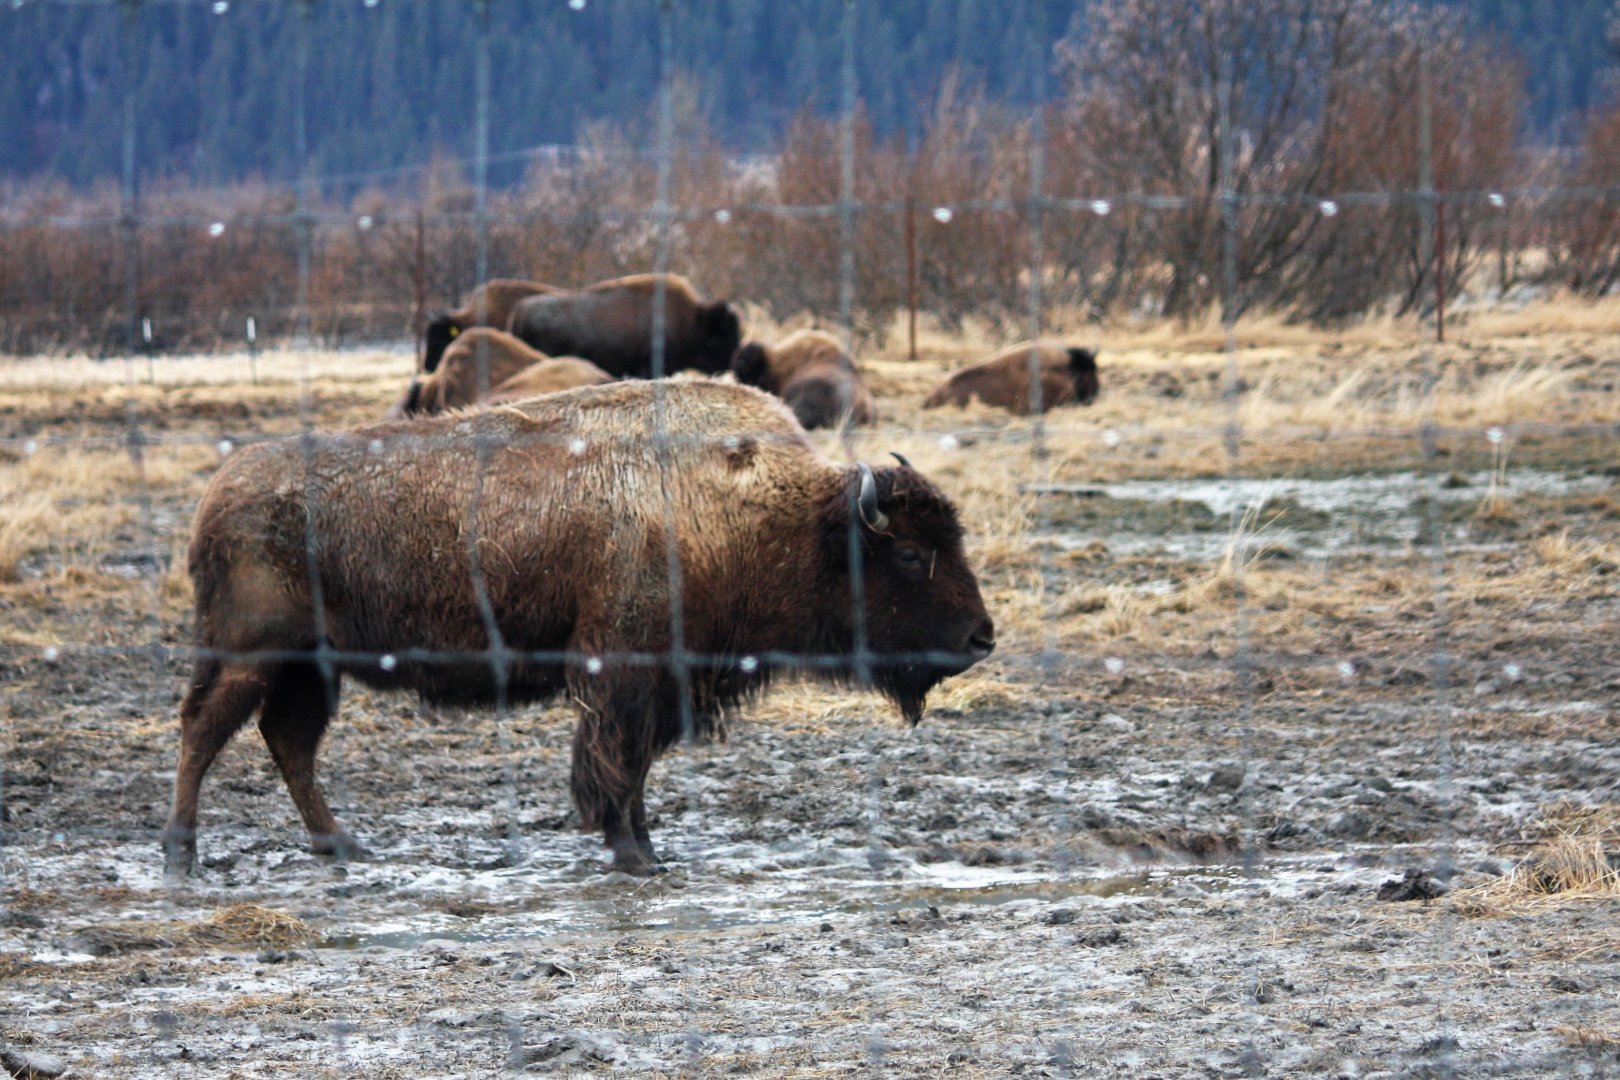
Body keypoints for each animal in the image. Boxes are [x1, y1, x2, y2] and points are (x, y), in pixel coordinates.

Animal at [162, 379, 994, 878]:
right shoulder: (621, 672)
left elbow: (637, 766)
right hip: (250, 655)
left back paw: (341, 845)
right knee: (204, 730)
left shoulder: (664, 685)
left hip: (312, 667)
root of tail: (216, 495)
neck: (786, 516)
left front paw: (648, 847)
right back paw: (182, 854)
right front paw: (630, 853)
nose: (982, 638)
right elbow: (613, 763)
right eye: (911, 553)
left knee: (287, 742)